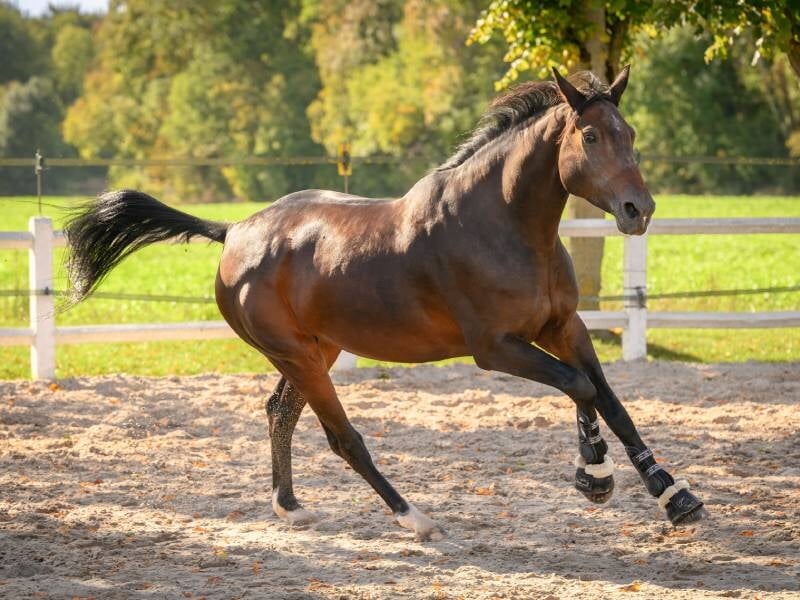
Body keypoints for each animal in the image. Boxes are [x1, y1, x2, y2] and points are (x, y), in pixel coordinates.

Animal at [65, 67, 706, 541]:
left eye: (631, 134)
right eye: (590, 137)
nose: (638, 210)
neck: (502, 224)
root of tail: (235, 232)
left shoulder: (563, 326)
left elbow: (608, 397)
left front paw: (675, 496)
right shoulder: (497, 349)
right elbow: (578, 386)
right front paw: (593, 475)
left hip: (316, 351)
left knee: (279, 413)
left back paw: (290, 505)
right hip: (297, 355)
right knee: (341, 437)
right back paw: (415, 518)